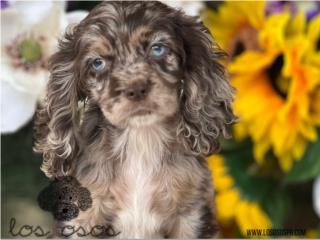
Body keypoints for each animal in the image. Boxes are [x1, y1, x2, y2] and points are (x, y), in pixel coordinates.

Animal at [34, 1, 235, 238]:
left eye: (157, 49)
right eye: (97, 63)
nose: (136, 89)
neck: (140, 140)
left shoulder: (191, 215)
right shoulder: (81, 218)